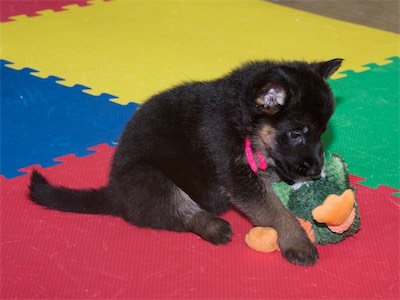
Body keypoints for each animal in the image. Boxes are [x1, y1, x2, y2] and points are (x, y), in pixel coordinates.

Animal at [28, 58, 344, 264]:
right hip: (149, 177)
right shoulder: (235, 172)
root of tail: (115, 194)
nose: (316, 171)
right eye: (296, 133)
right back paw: (212, 225)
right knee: (175, 211)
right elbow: (276, 210)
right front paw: (296, 239)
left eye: (322, 133)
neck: (244, 120)